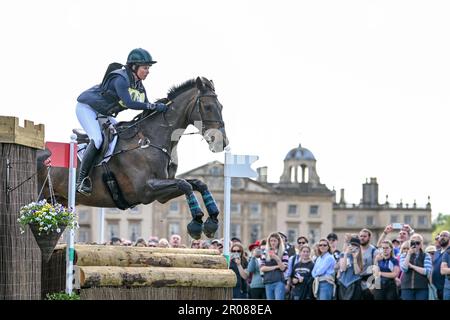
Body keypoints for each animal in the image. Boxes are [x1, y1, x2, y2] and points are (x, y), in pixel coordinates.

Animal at [36, 76, 229, 239]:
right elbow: (185, 184)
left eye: (221, 106)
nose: (222, 143)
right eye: (208, 107)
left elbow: (198, 183)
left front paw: (212, 221)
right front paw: (196, 223)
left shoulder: (162, 194)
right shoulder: (145, 189)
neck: (151, 140)